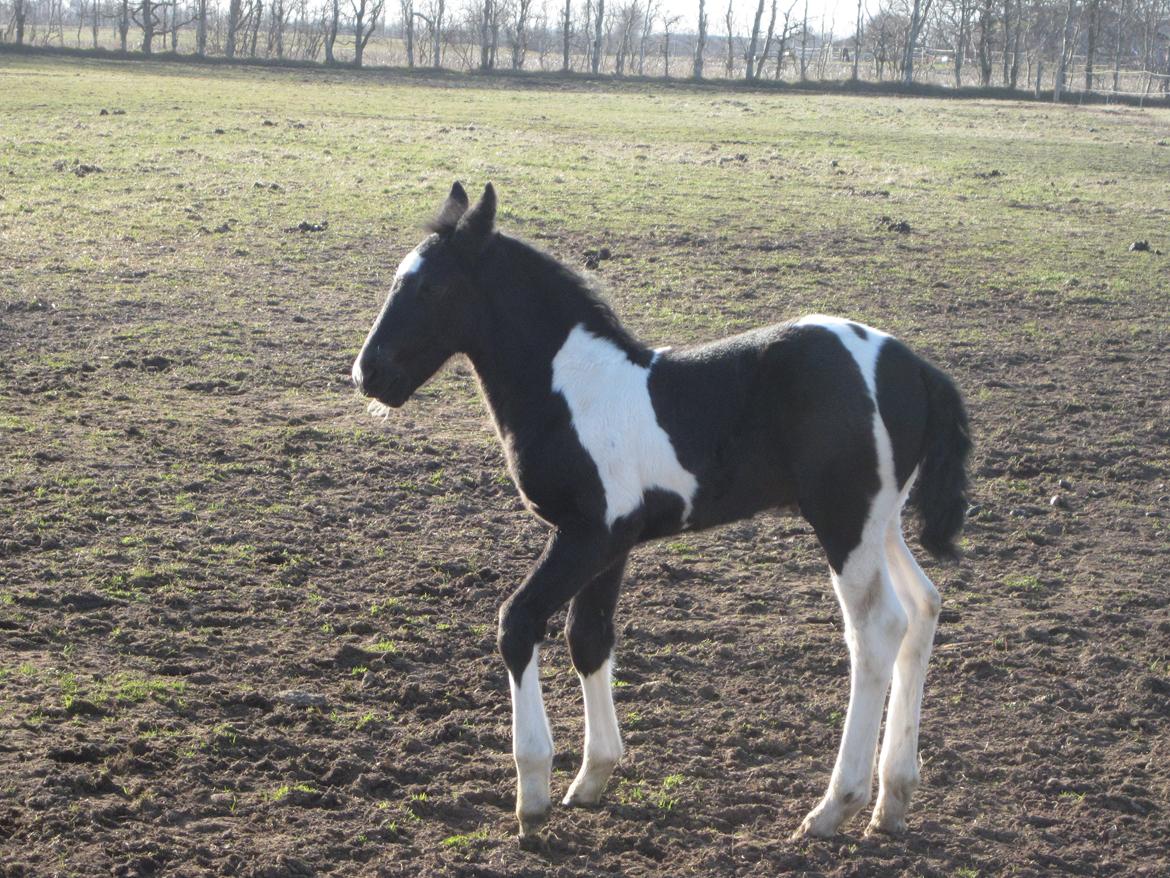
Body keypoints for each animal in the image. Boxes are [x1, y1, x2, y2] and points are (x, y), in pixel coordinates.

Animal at [351, 180, 973, 847]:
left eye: (430, 288)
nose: (367, 373)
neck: (574, 390)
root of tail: (916, 368)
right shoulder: (611, 543)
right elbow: (588, 637)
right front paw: (592, 779)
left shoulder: (589, 534)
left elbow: (517, 623)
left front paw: (533, 797)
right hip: (881, 521)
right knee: (923, 606)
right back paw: (893, 799)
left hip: (846, 521)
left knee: (876, 630)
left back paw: (835, 806)